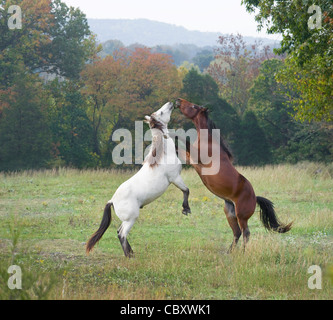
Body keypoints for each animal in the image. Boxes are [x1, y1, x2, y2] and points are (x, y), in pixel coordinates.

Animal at [85, 102, 189, 258]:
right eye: (161, 112)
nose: (171, 103)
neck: (164, 155)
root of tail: (112, 200)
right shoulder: (175, 178)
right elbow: (186, 190)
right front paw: (186, 209)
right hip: (131, 218)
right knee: (121, 234)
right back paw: (129, 256)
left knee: (119, 232)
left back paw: (132, 253)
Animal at [174, 97, 290, 252]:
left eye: (193, 106)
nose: (178, 100)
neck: (209, 142)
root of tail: (255, 197)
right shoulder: (189, 159)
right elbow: (178, 147)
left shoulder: (197, 157)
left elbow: (182, 140)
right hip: (230, 214)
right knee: (237, 233)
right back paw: (229, 252)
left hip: (241, 216)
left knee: (246, 233)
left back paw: (242, 252)